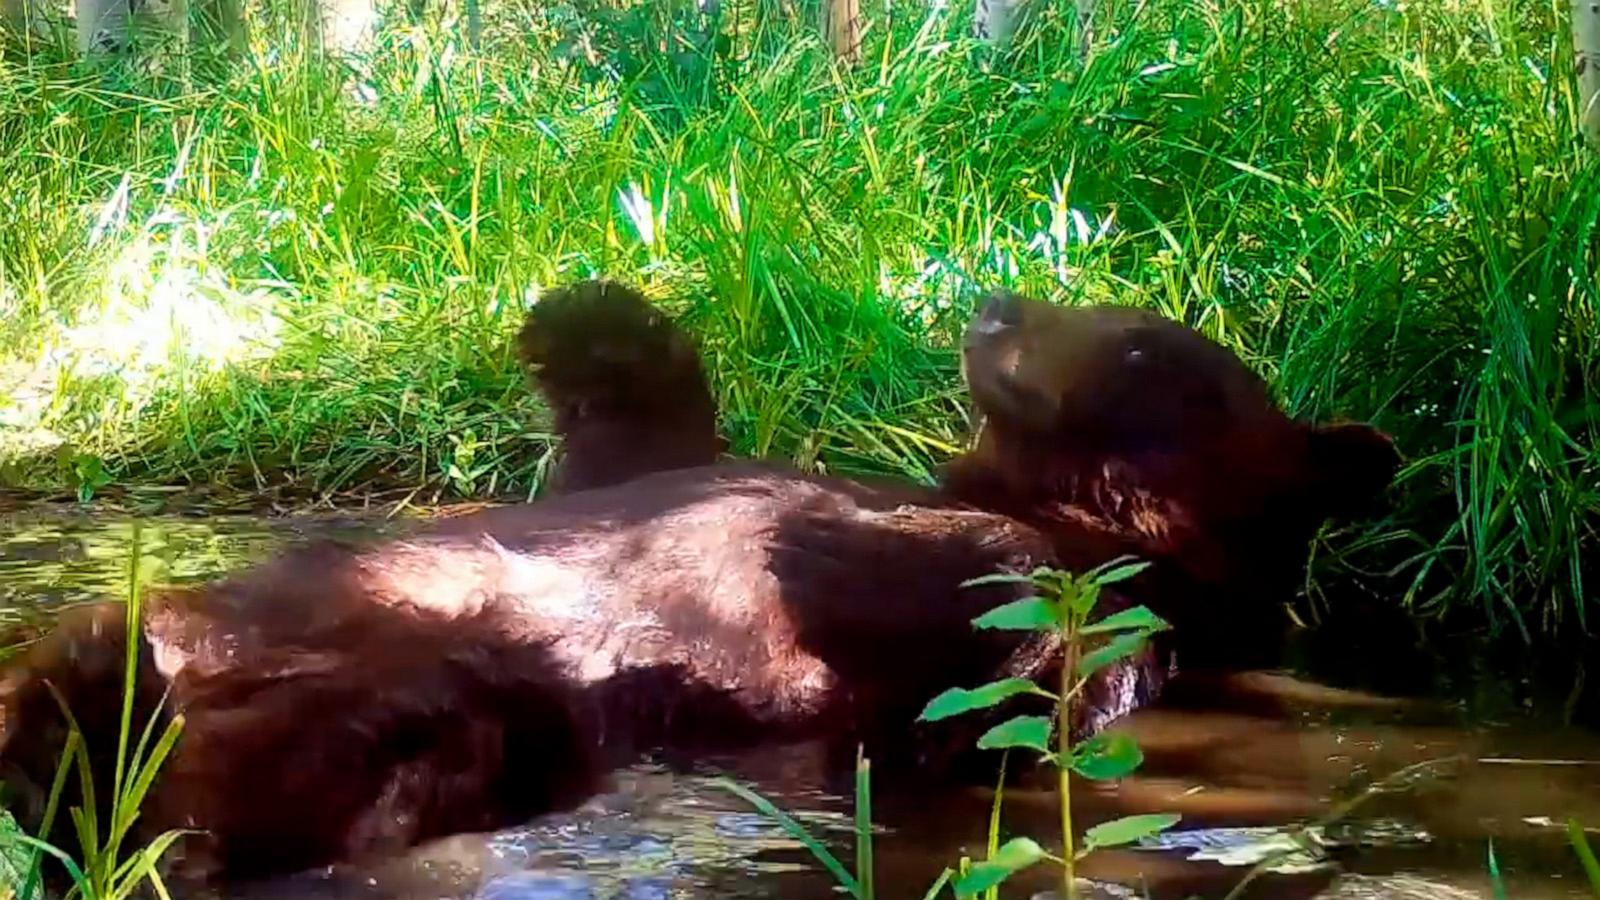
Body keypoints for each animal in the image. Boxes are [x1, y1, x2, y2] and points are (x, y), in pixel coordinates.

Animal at [0, 285, 1401, 883]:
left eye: (1141, 340)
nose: (996, 302)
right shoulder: (688, 469)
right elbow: (647, 449)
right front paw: (592, 318)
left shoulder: (1107, 627)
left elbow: (1023, 673)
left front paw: (839, 553)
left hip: (475, 711)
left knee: (307, 779)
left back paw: (105, 700)